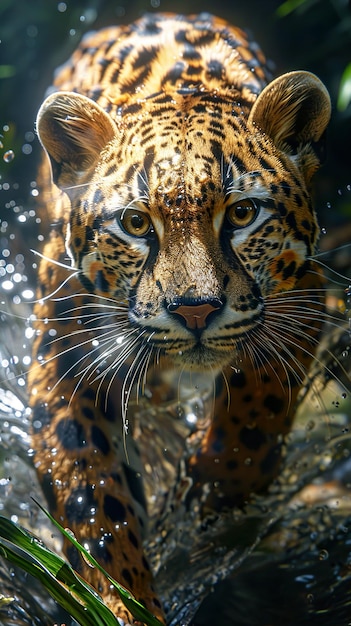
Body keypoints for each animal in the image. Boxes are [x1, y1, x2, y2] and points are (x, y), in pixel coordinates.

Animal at [28, 11, 332, 624]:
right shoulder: (62, 362)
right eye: (136, 223)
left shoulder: (301, 301)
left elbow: (256, 415)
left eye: (242, 213)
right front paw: (122, 601)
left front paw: (211, 492)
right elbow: (89, 495)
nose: (195, 309)